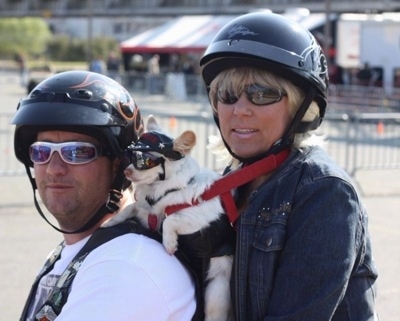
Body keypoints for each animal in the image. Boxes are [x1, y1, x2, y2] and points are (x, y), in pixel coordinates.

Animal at [103, 116, 234, 320]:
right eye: (131, 157)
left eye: (147, 161)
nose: (126, 171)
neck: (164, 191)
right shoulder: (148, 214)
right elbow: (132, 207)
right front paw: (111, 221)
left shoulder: (199, 221)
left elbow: (170, 220)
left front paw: (169, 244)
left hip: (216, 291)